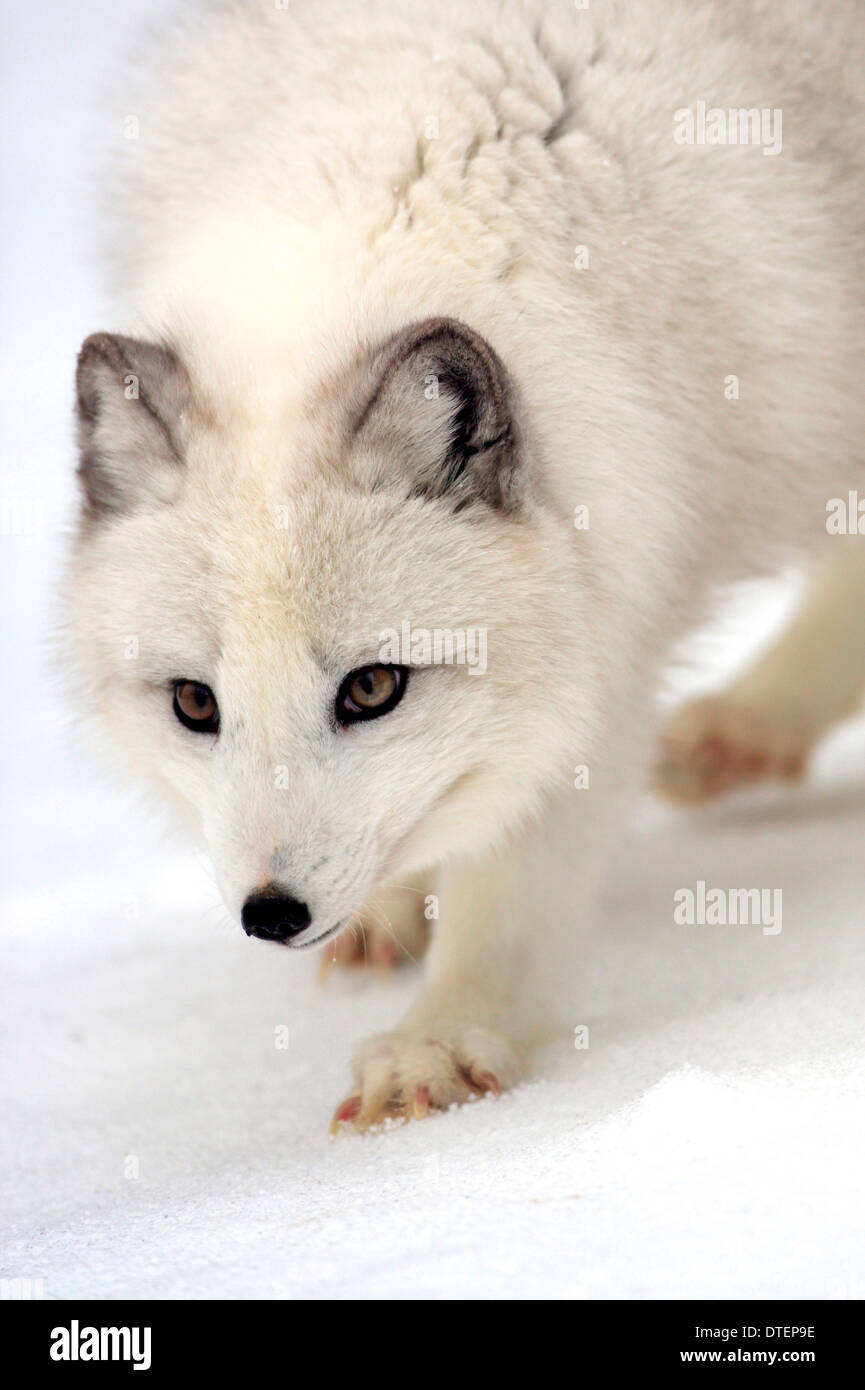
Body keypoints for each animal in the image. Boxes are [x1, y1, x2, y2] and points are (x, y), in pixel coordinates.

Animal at [64, 2, 865, 1128]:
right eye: (193, 704)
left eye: (372, 688)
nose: (273, 913)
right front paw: (391, 908)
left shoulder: (607, 620)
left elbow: (517, 877)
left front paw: (441, 1042)